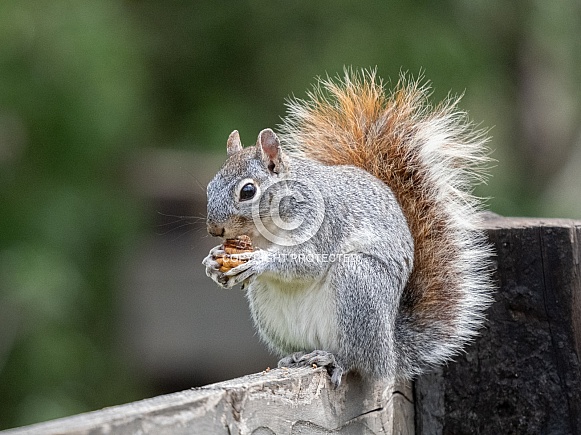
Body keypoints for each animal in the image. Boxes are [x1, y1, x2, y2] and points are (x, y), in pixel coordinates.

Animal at [202, 69, 492, 388]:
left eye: (248, 191)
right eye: (209, 187)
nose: (214, 230)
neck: (266, 228)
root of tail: (390, 353)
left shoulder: (322, 222)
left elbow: (309, 261)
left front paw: (259, 260)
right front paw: (213, 262)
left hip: (358, 282)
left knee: (360, 360)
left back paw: (335, 359)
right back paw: (296, 356)